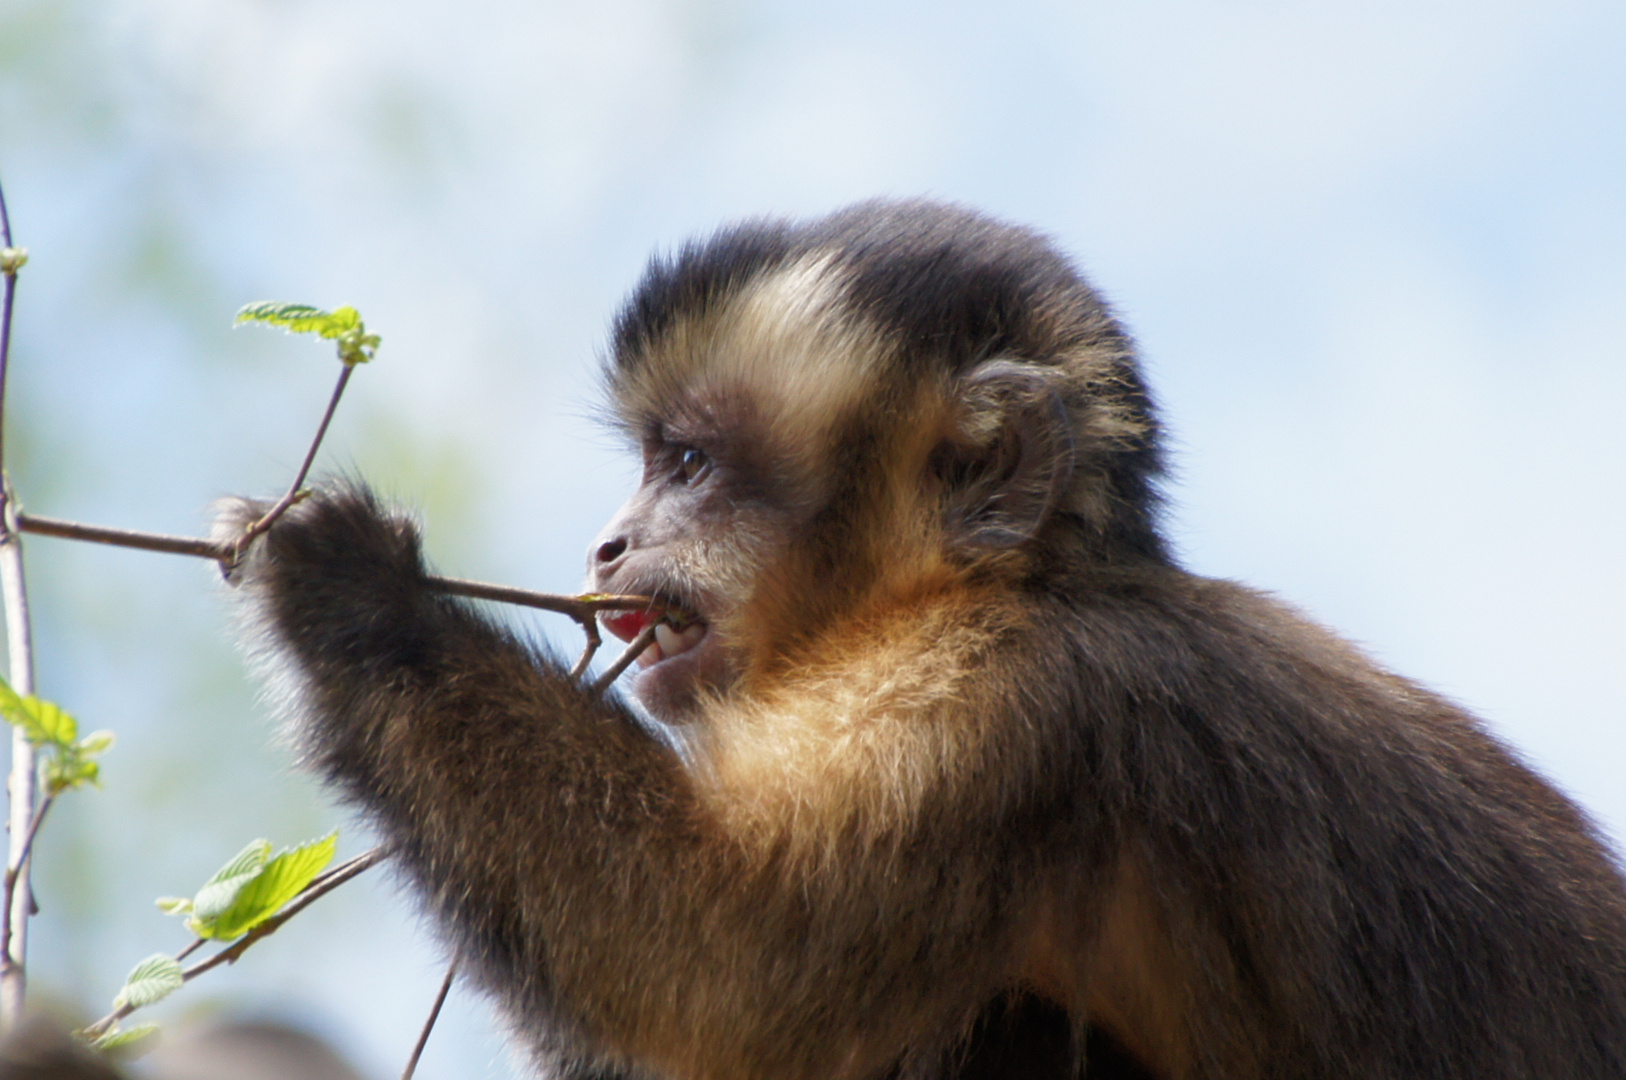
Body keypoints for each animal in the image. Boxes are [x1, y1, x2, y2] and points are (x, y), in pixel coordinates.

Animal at [216, 198, 1626, 1073]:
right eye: (646, 470)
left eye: (688, 465)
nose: (609, 545)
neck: (1007, 589)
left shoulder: (1002, 703)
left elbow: (716, 962)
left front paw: (361, 605)